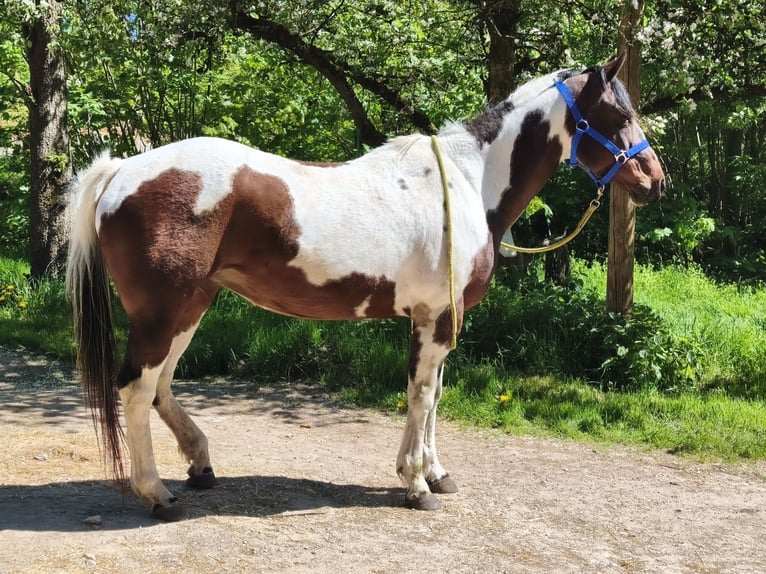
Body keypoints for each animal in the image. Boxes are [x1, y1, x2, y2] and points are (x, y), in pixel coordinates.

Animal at [66, 54, 665, 521]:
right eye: (619, 114)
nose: (655, 181)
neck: (468, 183)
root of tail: (122, 170)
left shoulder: (440, 319)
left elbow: (435, 395)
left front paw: (437, 472)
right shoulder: (434, 318)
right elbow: (420, 395)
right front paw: (416, 484)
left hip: (191, 306)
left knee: (161, 386)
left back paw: (200, 464)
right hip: (163, 313)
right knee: (137, 390)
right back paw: (158, 494)